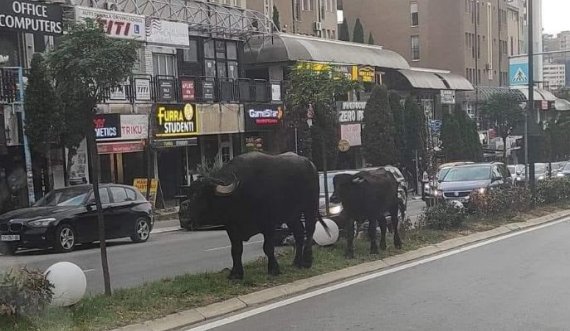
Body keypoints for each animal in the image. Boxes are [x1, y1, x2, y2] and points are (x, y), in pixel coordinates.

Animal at [184, 153, 322, 280]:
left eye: (201, 195)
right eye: (190, 194)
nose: (187, 220)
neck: (239, 194)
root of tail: (311, 165)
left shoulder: (269, 225)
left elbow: (268, 247)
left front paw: (273, 269)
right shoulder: (232, 228)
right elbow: (236, 250)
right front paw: (236, 274)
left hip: (310, 207)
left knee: (309, 230)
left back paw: (307, 261)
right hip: (291, 216)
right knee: (299, 233)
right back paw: (296, 262)